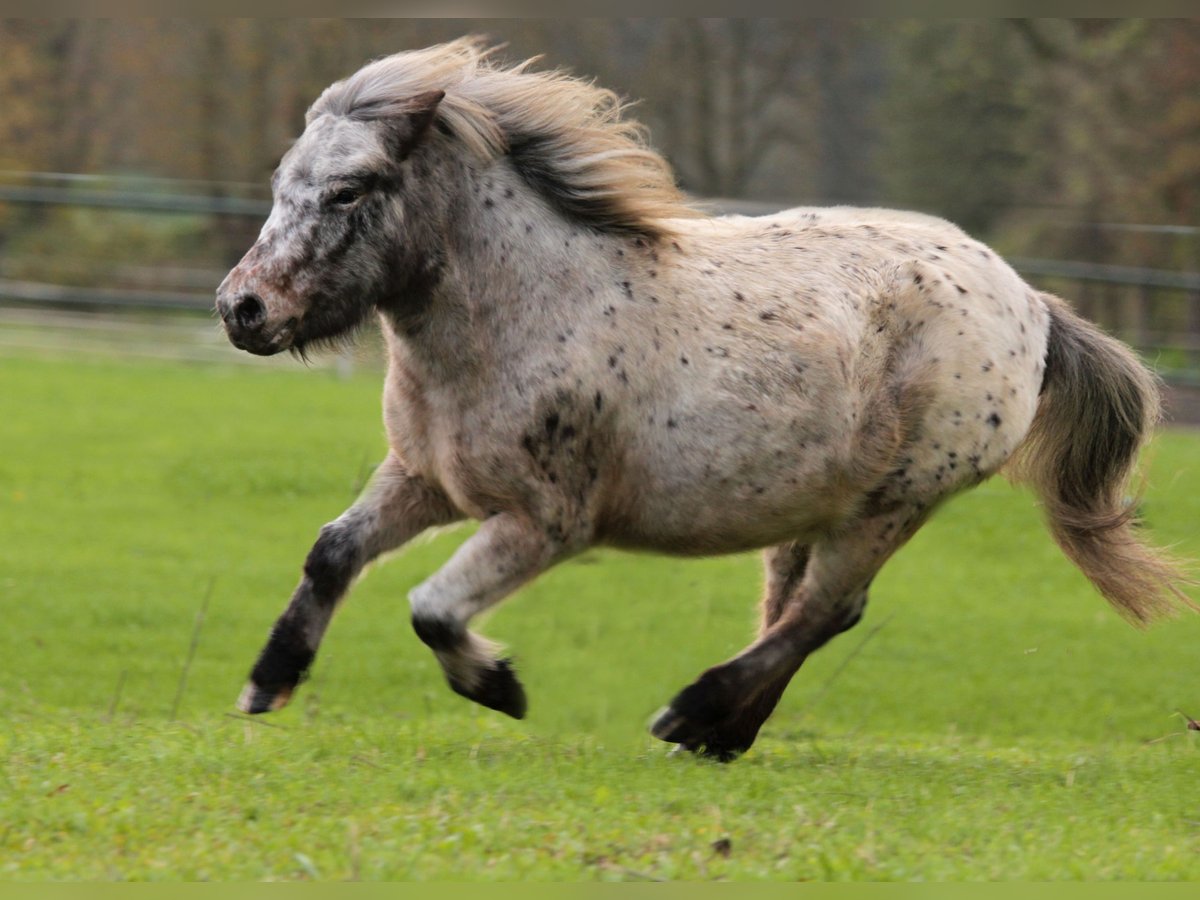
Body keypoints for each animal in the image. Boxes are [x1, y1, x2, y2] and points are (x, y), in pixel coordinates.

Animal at [216, 40, 1190, 763]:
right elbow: (333, 552)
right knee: (803, 609)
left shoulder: (546, 522)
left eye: (348, 189)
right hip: (821, 504)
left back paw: (692, 712)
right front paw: (267, 682)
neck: (530, 312)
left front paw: (500, 686)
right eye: (280, 185)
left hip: (897, 501)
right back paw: (723, 734)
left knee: (823, 611)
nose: (241, 309)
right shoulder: (426, 480)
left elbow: (433, 608)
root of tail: (1029, 303)